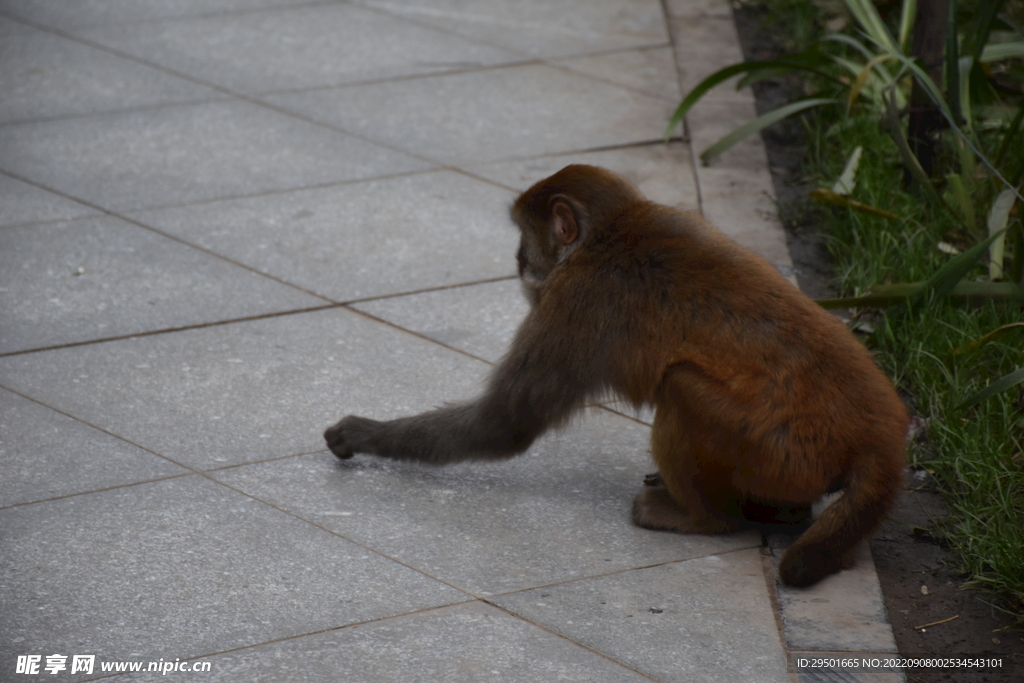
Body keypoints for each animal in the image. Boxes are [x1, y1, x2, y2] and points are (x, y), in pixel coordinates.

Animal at [325, 163, 905, 589]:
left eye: (524, 236)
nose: (516, 259)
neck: (611, 233)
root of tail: (879, 436)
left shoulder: (574, 301)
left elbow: (504, 424)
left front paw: (362, 432)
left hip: (782, 452)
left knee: (679, 387)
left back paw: (704, 519)